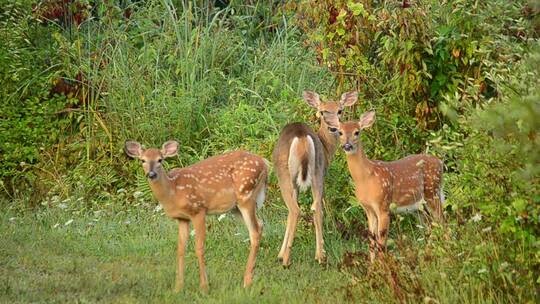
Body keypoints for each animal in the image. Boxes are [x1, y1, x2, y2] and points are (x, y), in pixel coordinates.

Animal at [126, 141, 270, 294]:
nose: (151, 174)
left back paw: (246, 282)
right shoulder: (182, 219)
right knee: (260, 225)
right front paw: (178, 288)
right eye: (143, 160)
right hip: (235, 207)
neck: (173, 191)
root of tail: (265, 163)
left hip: (246, 194)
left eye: (160, 159)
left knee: (254, 231)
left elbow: (199, 248)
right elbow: (180, 249)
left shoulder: (198, 210)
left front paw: (204, 287)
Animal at [274, 90, 358, 266]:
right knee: (315, 207)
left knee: (297, 209)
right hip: (316, 172)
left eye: (340, 110)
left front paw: (280, 254)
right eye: (323, 111)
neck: (326, 147)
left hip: (286, 175)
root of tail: (302, 137)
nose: (334, 127)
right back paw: (319, 255)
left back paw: (288, 260)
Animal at [324, 111, 442, 262]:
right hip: (418, 207)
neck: (365, 178)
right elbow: (371, 241)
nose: (347, 146)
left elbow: (381, 241)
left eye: (357, 132)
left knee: (442, 221)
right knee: (429, 225)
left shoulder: (383, 206)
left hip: (432, 193)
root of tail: (440, 163)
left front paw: (383, 265)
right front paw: (372, 265)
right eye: (340, 132)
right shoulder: (368, 209)